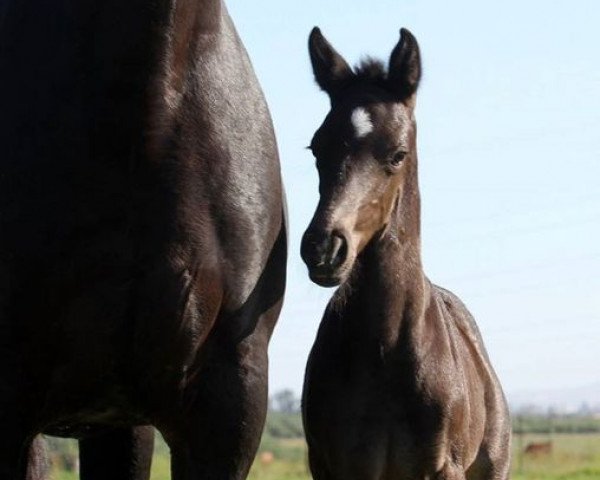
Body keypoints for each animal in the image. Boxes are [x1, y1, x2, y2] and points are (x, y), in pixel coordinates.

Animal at [300, 27, 510, 480]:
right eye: (316, 148)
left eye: (397, 153)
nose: (323, 247)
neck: (385, 351)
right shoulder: (338, 466)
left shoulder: (442, 468)